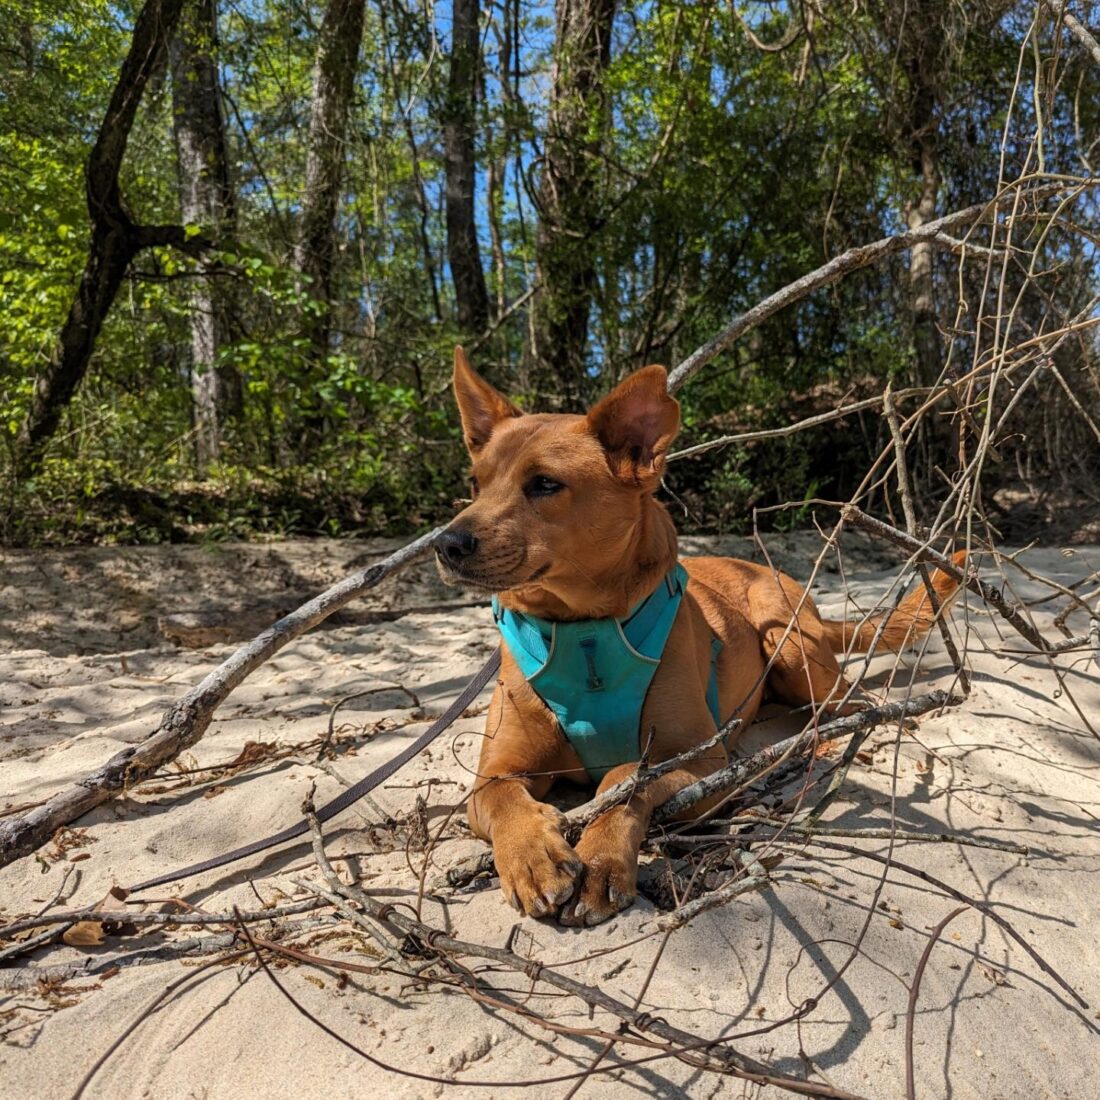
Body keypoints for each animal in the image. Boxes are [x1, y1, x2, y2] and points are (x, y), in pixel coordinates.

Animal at [437, 347, 963, 924]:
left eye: (545, 484)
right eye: (474, 484)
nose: (446, 544)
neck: (584, 632)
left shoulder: (703, 760)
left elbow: (625, 776)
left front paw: (601, 857)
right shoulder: (495, 773)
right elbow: (504, 798)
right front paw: (532, 853)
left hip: (789, 644)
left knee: (853, 700)